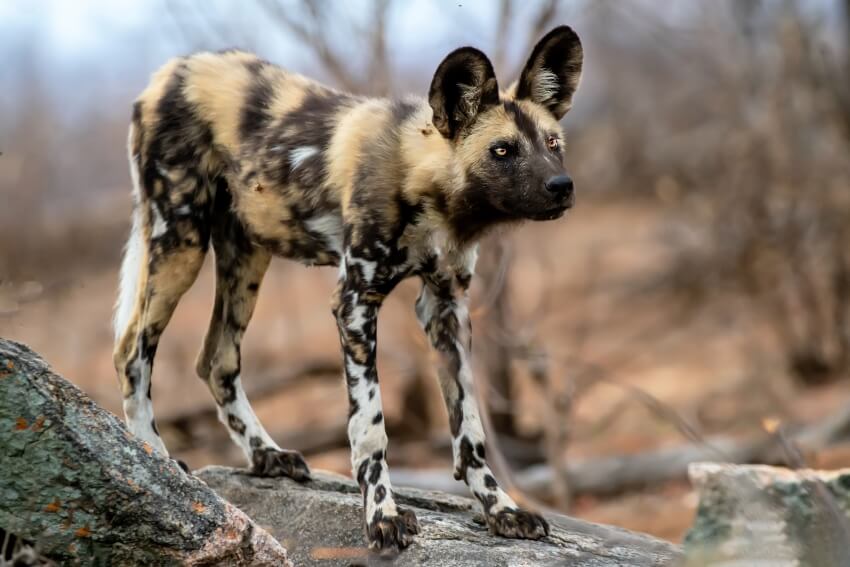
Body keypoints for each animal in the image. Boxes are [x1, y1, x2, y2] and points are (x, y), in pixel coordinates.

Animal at [112, 25, 580, 552]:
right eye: (502, 151)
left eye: (553, 143)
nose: (562, 186)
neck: (424, 184)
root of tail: (171, 70)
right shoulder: (355, 304)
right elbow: (370, 427)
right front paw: (383, 517)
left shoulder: (446, 309)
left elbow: (471, 432)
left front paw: (502, 510)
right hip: (181, 243)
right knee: (132, 353)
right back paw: (154, 457)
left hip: (246, 258)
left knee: (217, 360)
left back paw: (267, 455)